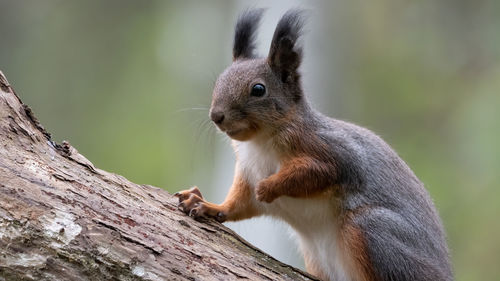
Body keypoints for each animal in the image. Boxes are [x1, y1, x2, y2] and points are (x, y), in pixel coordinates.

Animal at [176, 8, 454, 280]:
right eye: (218, 81)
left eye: (258, 89)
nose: (216, 116)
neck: (260, 142)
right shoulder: (247, 171)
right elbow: (238, 204)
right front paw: (206, 205)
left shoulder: (329, 150)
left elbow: (316, 173)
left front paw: (269, 187)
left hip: (372, 230)